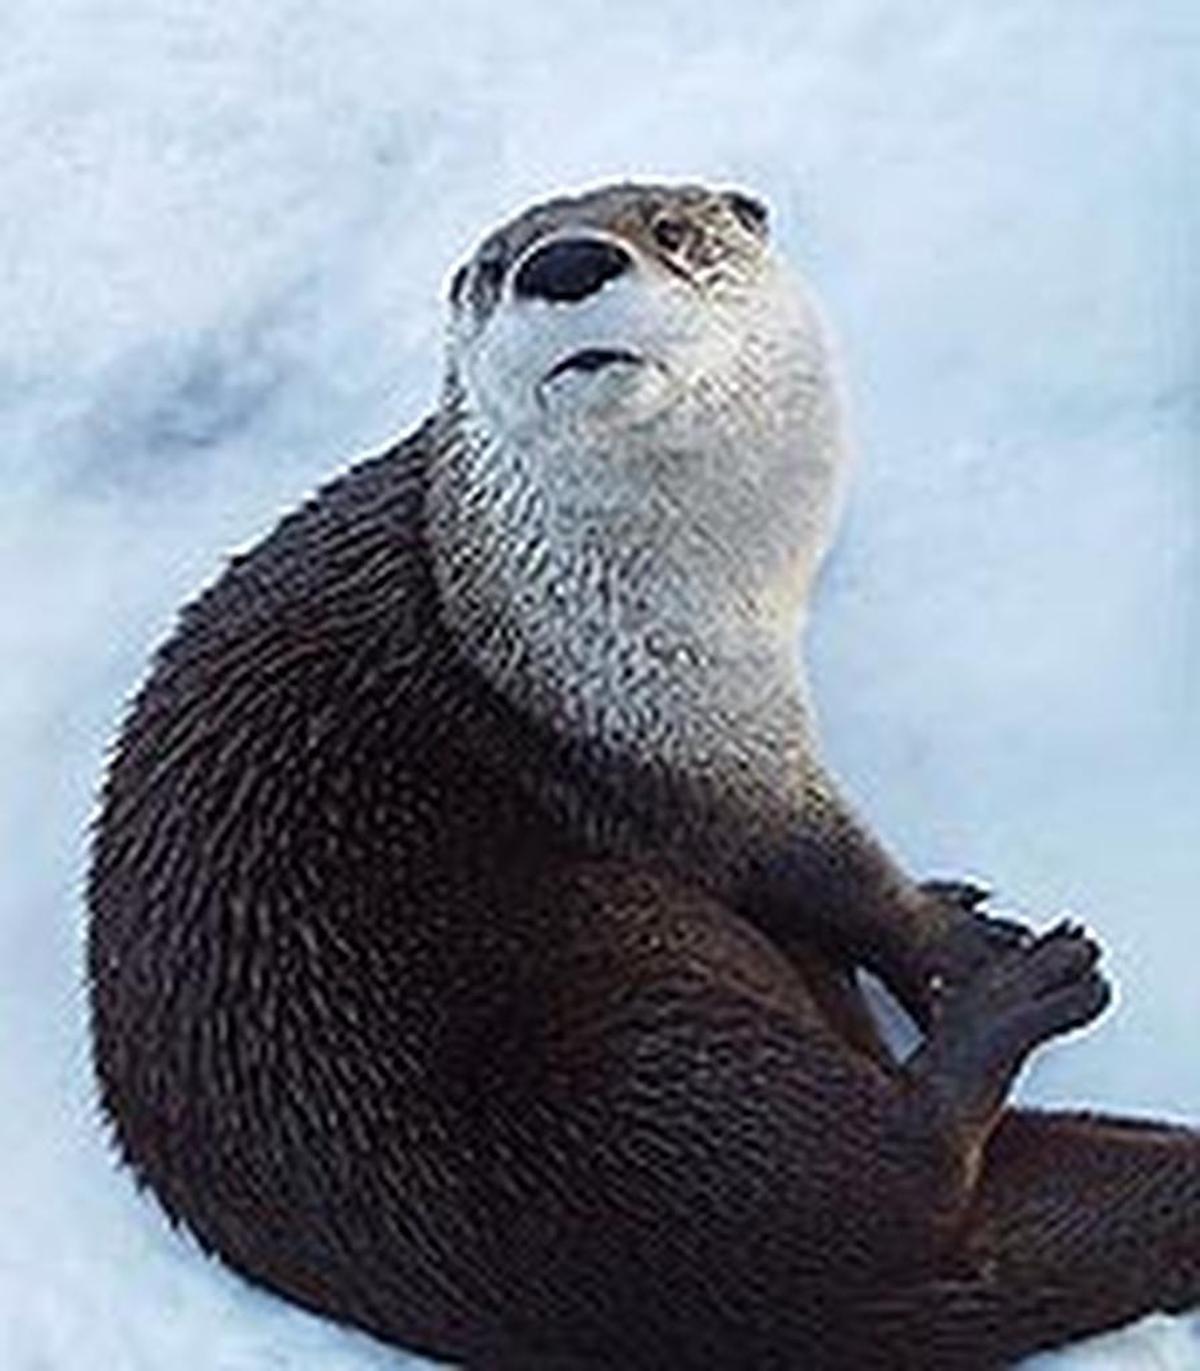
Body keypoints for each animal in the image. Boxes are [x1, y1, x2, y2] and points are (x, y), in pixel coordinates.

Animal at [87, 181, 1200, 1369]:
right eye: (494, 268)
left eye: (668, 228)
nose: (565, 262)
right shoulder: (693, 757)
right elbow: (835, 876)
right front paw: (959, 948)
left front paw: (951, 910)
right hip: (621, 1084)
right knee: (896, 1171)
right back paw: (1020, 1002)